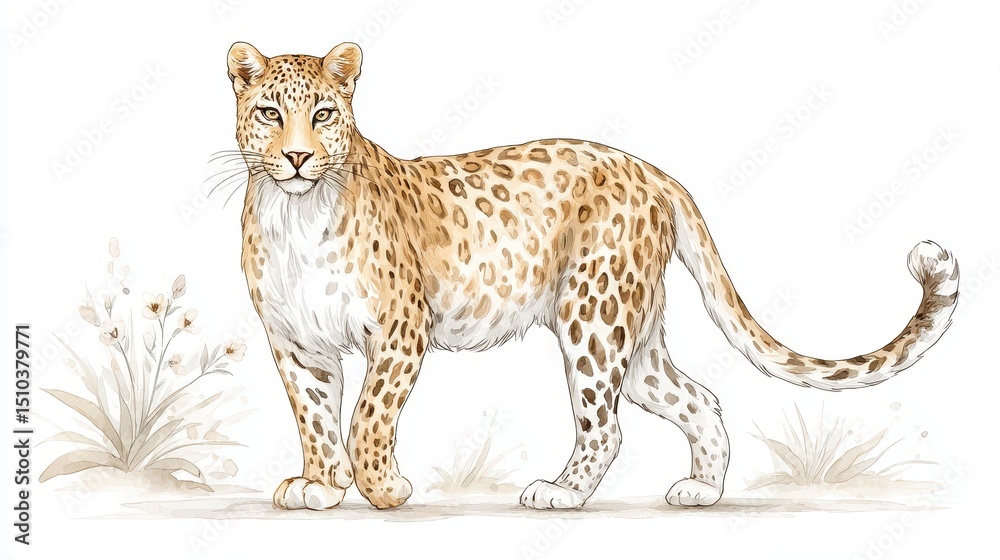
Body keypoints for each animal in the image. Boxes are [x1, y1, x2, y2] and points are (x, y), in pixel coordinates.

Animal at [225, 41, 960, 510]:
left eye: (323, 114)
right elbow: (315, 418)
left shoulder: (400, 331)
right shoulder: (298, 345)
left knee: (604, 426)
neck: (295, 215)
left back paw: (561, 493)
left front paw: (383, 490)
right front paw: (319, 485)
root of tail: (650, 171)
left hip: (593, 315)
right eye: (270, 112)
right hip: (634, 335)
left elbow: (367, 417)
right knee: (697, 398)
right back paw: (700, 491)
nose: (297, 157)